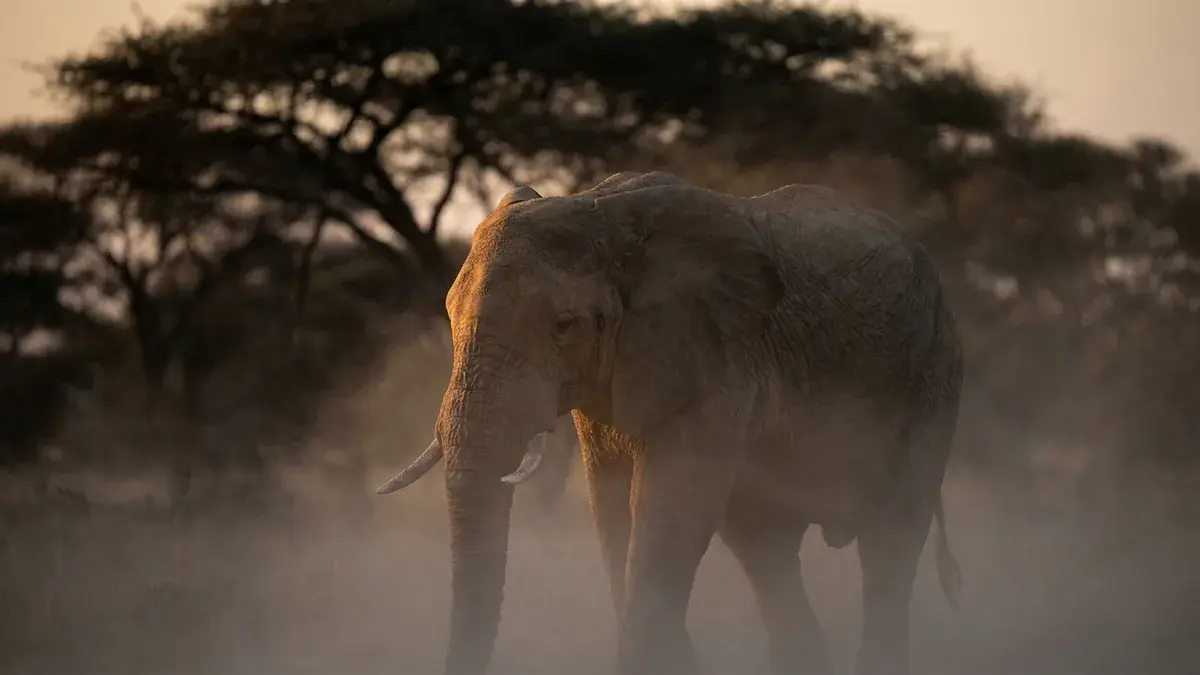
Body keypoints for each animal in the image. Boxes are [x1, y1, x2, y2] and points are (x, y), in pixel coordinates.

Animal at [375, 171, 964, 675]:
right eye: (449, 316)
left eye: (563, 324)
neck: (603, 214)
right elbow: (610, 504)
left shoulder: (717, 360)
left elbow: (670, 505)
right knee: (765, 549)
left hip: (932, 375)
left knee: (891, 542)